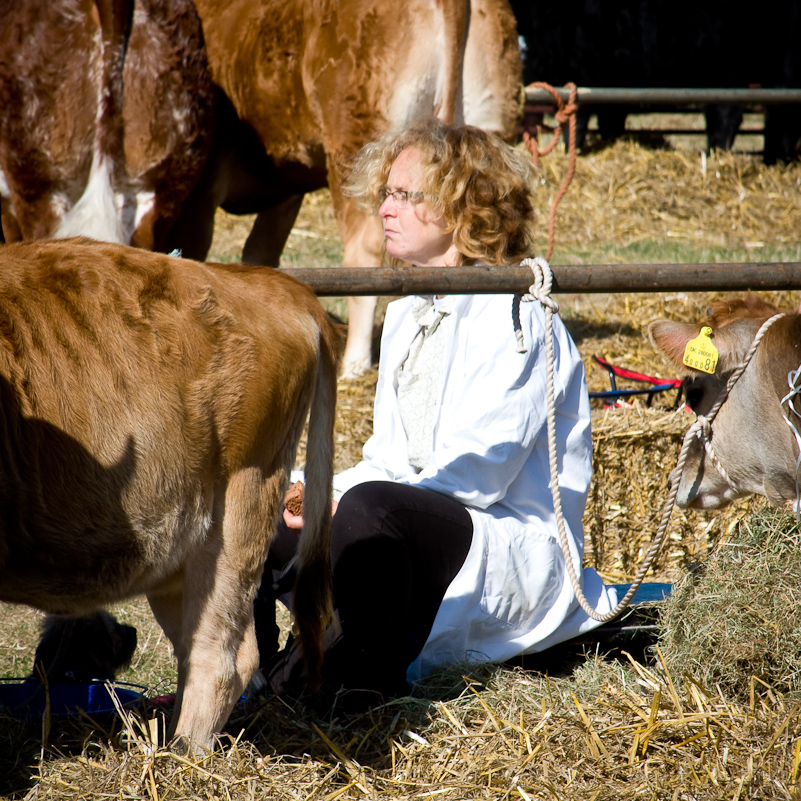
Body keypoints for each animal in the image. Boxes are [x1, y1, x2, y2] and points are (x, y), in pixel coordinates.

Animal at [0, 238, 340, 752]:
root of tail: (271, 282)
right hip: (178, 546)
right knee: (194, 647)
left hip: (243, 502)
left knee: (225, 658)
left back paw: (182, 756)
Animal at [190, 0, 520, 376]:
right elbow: (261, 250)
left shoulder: (205, 178)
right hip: (491, 131)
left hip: (355, 154)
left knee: (364, 256)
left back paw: (354, 362)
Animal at [512, 0, 800, 162]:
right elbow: (610, 121)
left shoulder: (579, 67)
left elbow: (577, 121)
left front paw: (571, 153)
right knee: (779, 118)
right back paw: (776, 160)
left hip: (726, 68)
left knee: (727, 117)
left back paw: (717, 157)